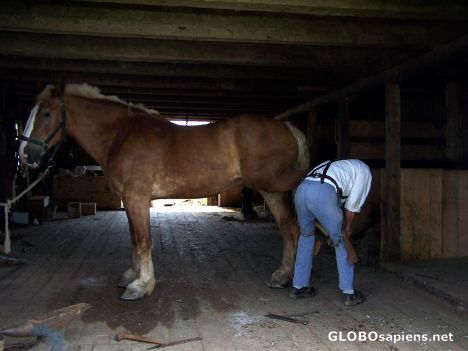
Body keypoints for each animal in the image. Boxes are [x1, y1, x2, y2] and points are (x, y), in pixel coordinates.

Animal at [20, 84, 308, 302]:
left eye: (46, 114)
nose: (25, 156)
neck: (121, 135)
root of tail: (286, 127)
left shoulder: (137, 198)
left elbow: (143, 239)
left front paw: (141, 285)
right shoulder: (129, 200)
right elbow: (134, 238)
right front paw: (131, 275)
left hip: (274, 182)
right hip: (271, 190)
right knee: (289, 227)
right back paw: (283, 276)